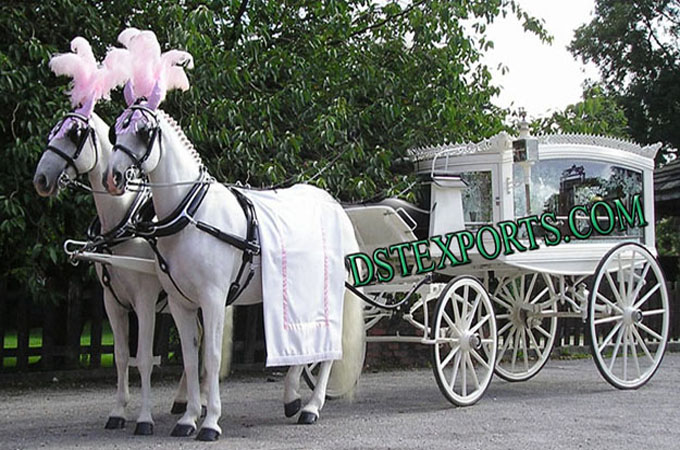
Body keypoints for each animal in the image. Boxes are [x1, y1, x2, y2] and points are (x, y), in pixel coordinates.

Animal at [103, 93, 364, 442]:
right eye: (116, 129)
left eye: (144, 132)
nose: (113, 178)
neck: (192, 214)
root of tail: (335, 206)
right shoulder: (181, 304)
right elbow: (190, 359)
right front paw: (188, 419)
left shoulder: (212, 299)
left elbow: (211, 359)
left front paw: (210, 422)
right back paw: (293, 400)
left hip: (330, 297)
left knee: (327, 352)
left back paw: (312, 407)